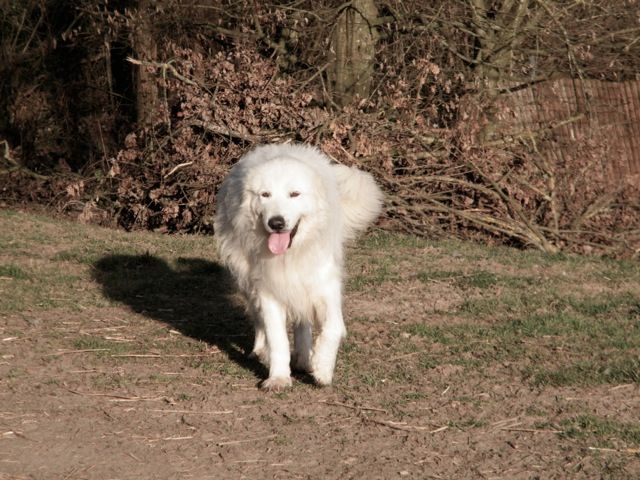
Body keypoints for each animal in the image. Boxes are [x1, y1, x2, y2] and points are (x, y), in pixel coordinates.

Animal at [215, 143, 384, 390]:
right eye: (265, 195)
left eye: (294, 194)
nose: (276, 223)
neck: (292, 253)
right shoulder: (269, 290)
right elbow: (277, 338)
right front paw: (278, 378)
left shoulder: (326, 287)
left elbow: (333, 328)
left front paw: (322, 369)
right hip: (248, 280)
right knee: (259, 320)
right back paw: (262, 351)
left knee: (303, 322)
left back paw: (305, 359)